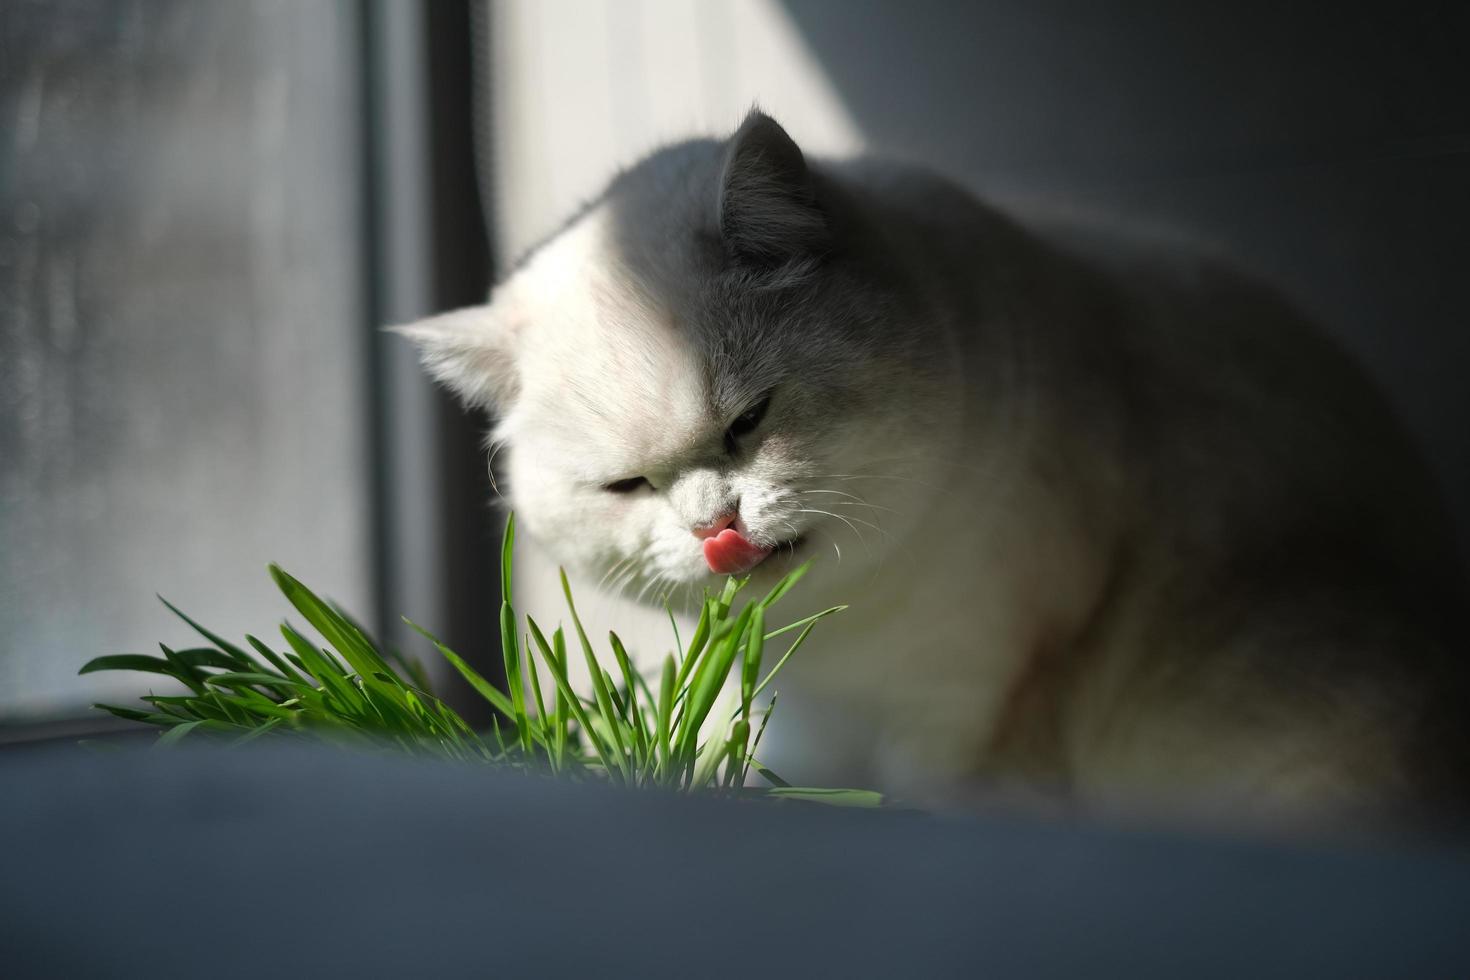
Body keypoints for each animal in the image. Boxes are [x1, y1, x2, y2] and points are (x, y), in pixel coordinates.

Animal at [396, 110, 1464, 834]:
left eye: (749, 423)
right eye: (629, 489)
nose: (715, 531)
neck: (846, 632)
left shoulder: (972, 708)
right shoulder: (802, 726)